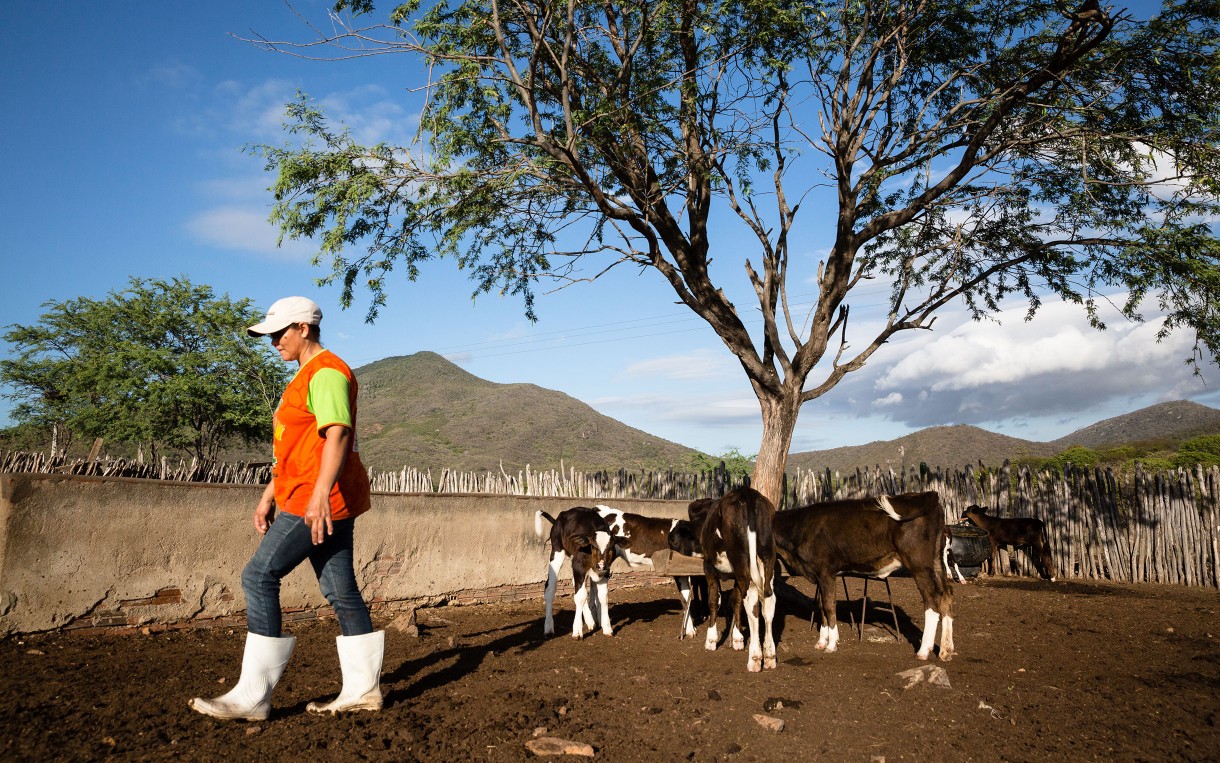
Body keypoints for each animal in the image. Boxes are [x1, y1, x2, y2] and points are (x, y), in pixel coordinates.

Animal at [536, 507, 619, 639]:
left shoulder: (605, 571)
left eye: (611, 547)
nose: (601, 565)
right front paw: (577, 631)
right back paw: (548, 627)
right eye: (593, 546)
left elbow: (603, 596)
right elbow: (580, 597)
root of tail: (558, 518)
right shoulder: (579, 566)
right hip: (557, 552)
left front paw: (607, 628)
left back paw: (590, 621)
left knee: (577, 585)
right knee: (550, 588)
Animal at [697, 485, 771, 668]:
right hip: (766, 556)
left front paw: (711, 639)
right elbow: (735, 600)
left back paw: (755, 657)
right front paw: (738, 638)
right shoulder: (735, 577)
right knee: (768, 598)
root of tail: (746, 492)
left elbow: (713, 600)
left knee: (752, 601)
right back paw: (770, 656)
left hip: (742, 561)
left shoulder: (708, 567)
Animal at [775, 490, 956, 659]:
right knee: (946, 595)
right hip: (937, 561)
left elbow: (828, 606)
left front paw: (831, 644)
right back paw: (946, 650)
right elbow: (821, 605)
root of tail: (926, 494)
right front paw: (821, 641)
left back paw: (923, 650)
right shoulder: (818, 574)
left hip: (919, 565)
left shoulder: (825, 572)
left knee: (932, 600)